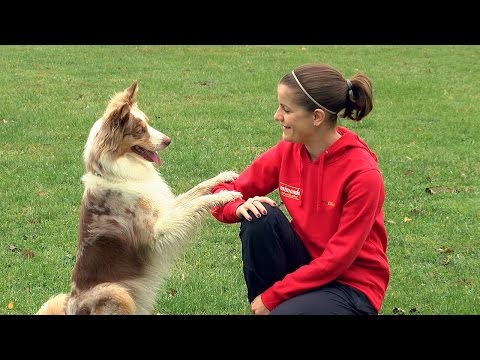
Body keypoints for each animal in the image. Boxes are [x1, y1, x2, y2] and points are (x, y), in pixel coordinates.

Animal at [35, 80, 242, 314]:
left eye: (149, 123)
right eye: (140, 130)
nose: (169, 140)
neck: (119, 173)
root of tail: (70, 308)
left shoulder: (164, 207)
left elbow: (196, 191)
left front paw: (223, 177)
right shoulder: (156, 232)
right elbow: (196, 202)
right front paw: (227, 194)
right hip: (117, 291)